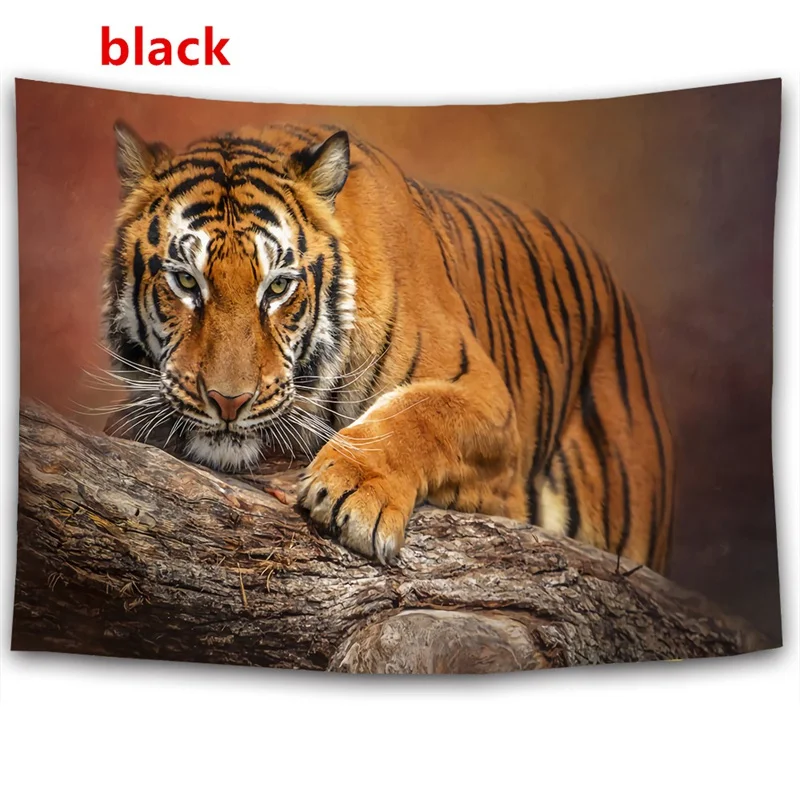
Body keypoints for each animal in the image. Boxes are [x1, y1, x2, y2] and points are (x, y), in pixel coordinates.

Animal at [103, 120, 675, 572]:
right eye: (185, 281)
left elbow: (418, 412)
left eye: (278, 287)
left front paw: (356, 492)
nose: (229, 402)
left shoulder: (489, 402)